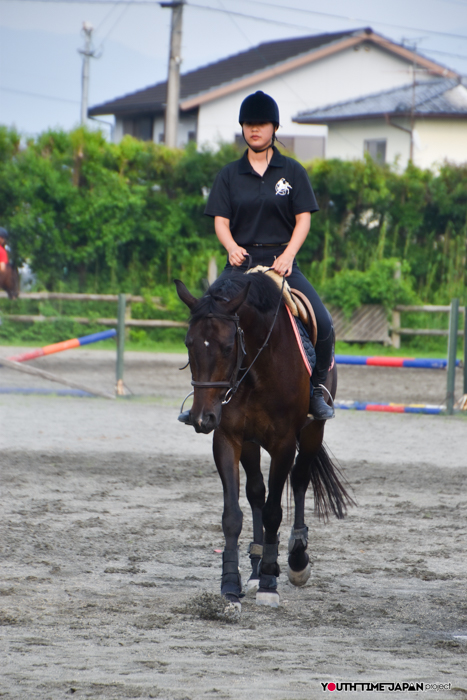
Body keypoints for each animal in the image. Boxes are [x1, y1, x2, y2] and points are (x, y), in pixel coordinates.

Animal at [175, 271, 353, 611]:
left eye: (227, 346)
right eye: (189, 344)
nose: (202, 419)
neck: (255, 368)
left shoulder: (284, 443)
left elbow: (274, 510)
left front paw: (271, 581)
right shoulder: (229, 439)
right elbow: (234, 515)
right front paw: (231, 585)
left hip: (313, 431)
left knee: (300, 479)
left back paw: (296, 558)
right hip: (251, 443)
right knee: (257, 491)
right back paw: (256, 567)